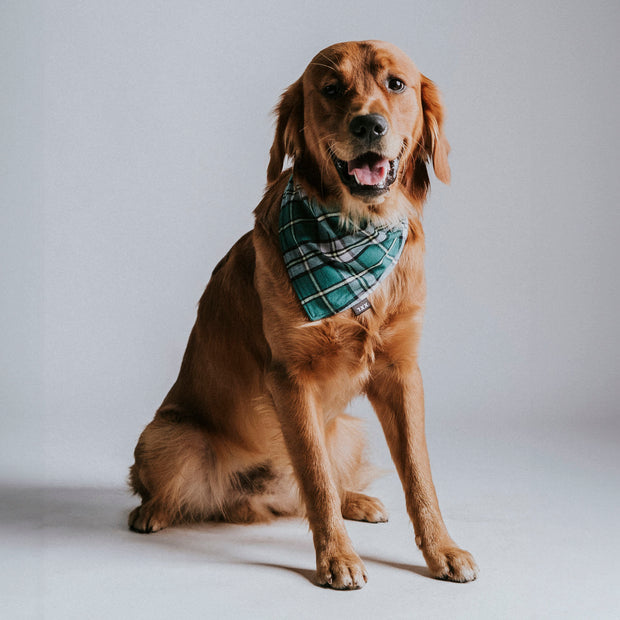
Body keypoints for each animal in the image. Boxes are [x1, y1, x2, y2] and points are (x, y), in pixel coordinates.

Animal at [130, 40, 480, 592]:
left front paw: (442, 549)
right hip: (167, 435)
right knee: (173, 490)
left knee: (313, 488)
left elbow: (418, 474)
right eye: (331, 89)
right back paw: (152, 513)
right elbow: (315, 477)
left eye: (396, 84)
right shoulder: (290, 377)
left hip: (349, 431)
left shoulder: (401, 370)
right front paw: (336, 558)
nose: (368, 125)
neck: (354, 238)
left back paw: (356, 500)